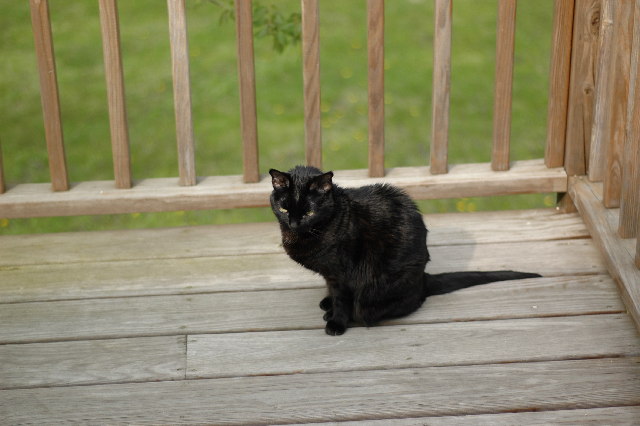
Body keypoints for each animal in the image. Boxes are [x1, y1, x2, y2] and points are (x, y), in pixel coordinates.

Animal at [269, 165, 541, 335]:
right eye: (284, 209)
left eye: (308, 212)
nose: (293, 223)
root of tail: (423, 280)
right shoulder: (330, 274)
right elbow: (331, 290)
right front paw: (329, 305)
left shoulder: (342, 273)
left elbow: (342, 299)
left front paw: (337, 322)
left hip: (379, 292)